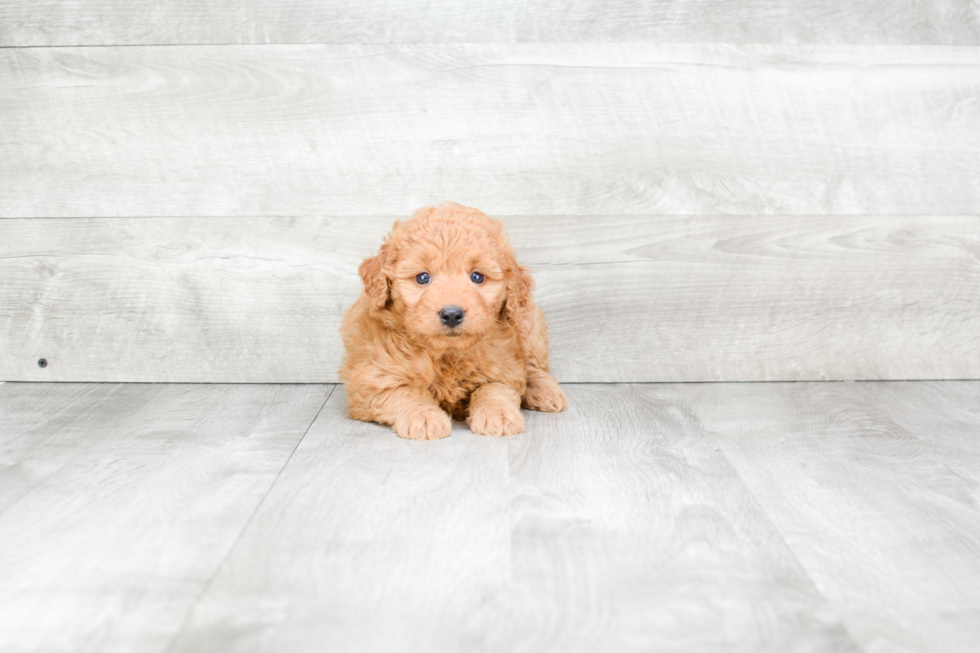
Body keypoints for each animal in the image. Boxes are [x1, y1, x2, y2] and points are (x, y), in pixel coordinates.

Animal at [340, 201, 568, 440]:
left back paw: (545, 392)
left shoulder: (505, 367)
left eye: (477, 277)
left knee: (534, 366)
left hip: (528, 323)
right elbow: (404, 392)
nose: (451, 314)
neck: (446, 353)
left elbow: (494, 388)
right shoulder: (373, 378)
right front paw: (423, 416)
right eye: (422, 277)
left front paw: (498, 414)